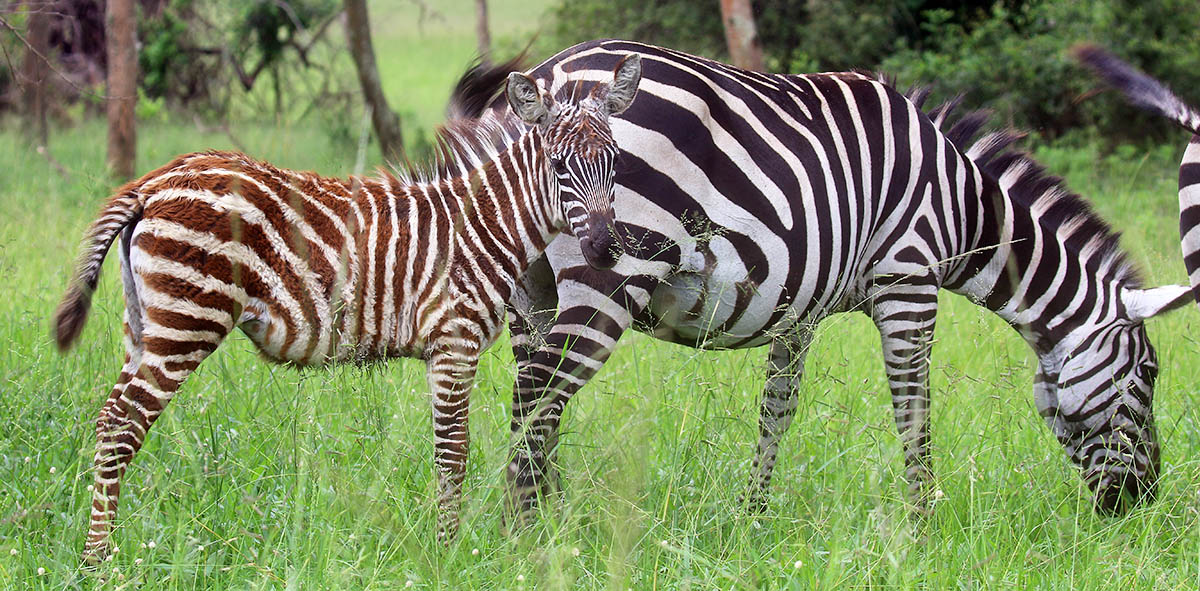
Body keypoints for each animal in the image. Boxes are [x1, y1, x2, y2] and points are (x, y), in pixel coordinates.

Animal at [55, 57, 643, 564]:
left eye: (616, 164)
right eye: (560, 166)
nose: (604, 249)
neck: (482, 226)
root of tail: (155, 180)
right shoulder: (455, 342)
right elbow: (453, 453)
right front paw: (448, 553)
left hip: (144, 324)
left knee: (109, 419)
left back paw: (98, 552)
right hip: (188, 319)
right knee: (124, 425)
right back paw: (98, 562)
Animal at [456, 39, 1190, 516]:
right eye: (1149, 376)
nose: (1142, 504)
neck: (963, 209)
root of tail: (538, 82)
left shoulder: (797, 305)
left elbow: (778, 411)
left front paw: (753, 513)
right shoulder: (908, 279)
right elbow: (913, 406)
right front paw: (924, 521)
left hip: (533, 292)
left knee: (533, 402)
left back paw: (550, 521)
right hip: (605, 278)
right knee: (537, 398)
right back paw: (528, 533)